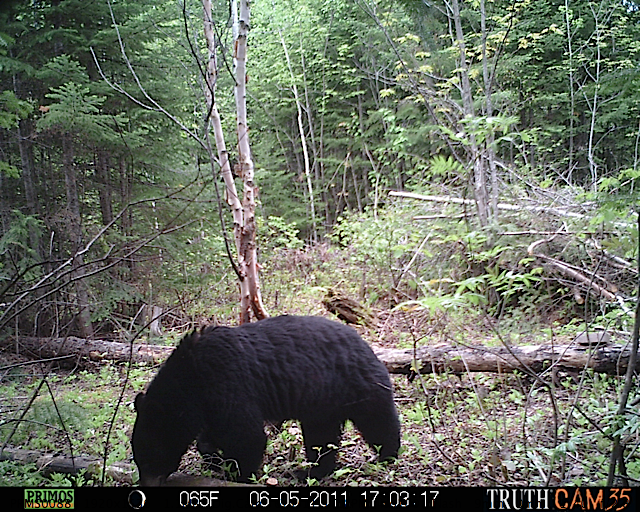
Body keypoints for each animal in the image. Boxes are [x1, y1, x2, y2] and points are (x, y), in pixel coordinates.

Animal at [131, 314, 400, 486]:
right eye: (138, 457)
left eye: (150, 455)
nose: (145, 484)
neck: (191, 377)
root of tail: (367, 345)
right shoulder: (210, 403)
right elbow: (210, 437)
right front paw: (216, 461)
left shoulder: (227, 381)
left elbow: (246, 436)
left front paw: (240, 474)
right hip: (323, 405)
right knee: (321, 439)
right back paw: (309, 472)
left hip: (356, 385)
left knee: (378, 422)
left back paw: (386, 456)